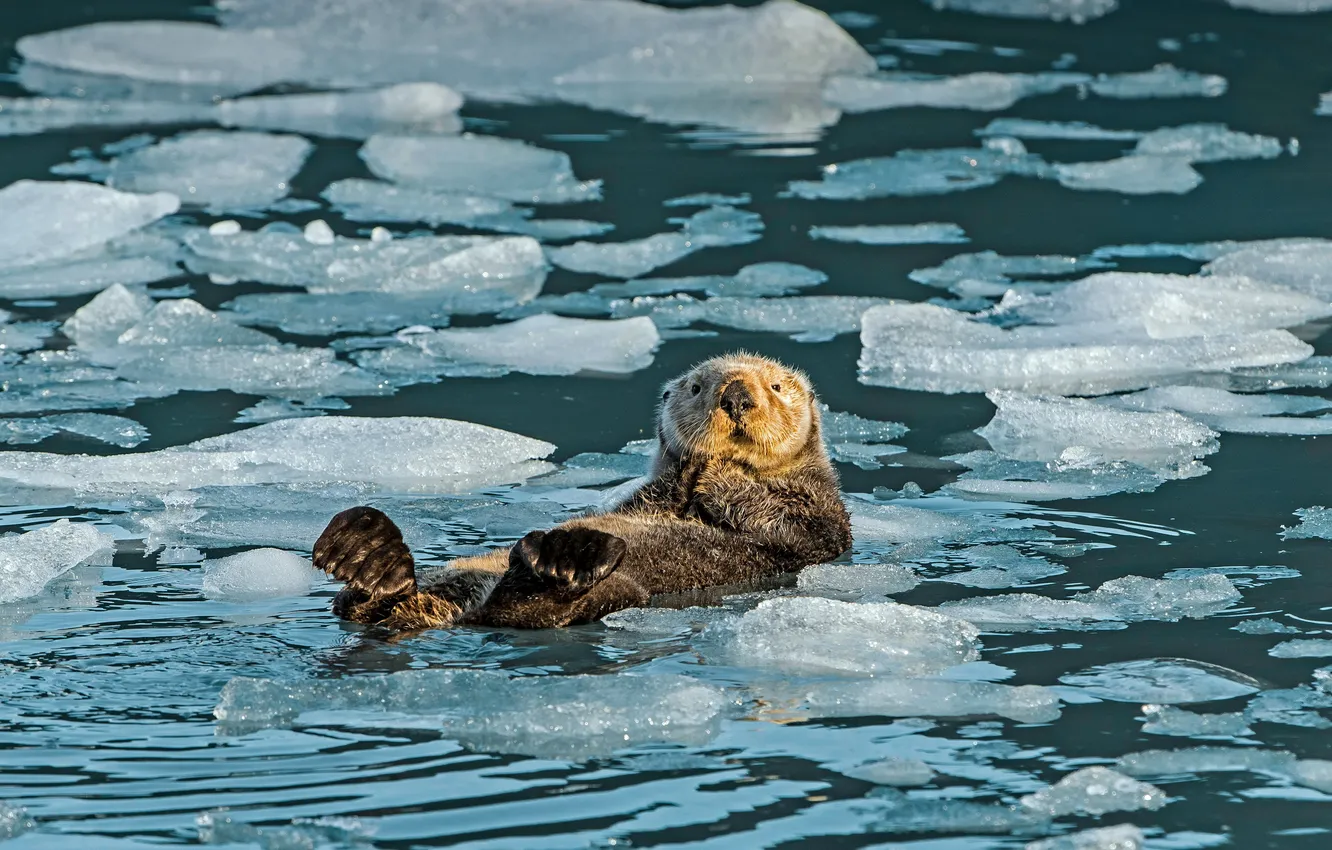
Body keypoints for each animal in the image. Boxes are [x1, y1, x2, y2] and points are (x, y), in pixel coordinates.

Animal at [311, 352, 852, 630]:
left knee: (528, 609)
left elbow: (778, 514)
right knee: (364, 604)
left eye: (777, 387)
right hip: (453, 577)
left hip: (613, 591)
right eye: (699, 387)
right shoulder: (647, 495)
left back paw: (564, 559)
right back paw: (365, 550)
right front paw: (698, 465)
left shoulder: (817, 520)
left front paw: (717, 470)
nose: (735, 395)